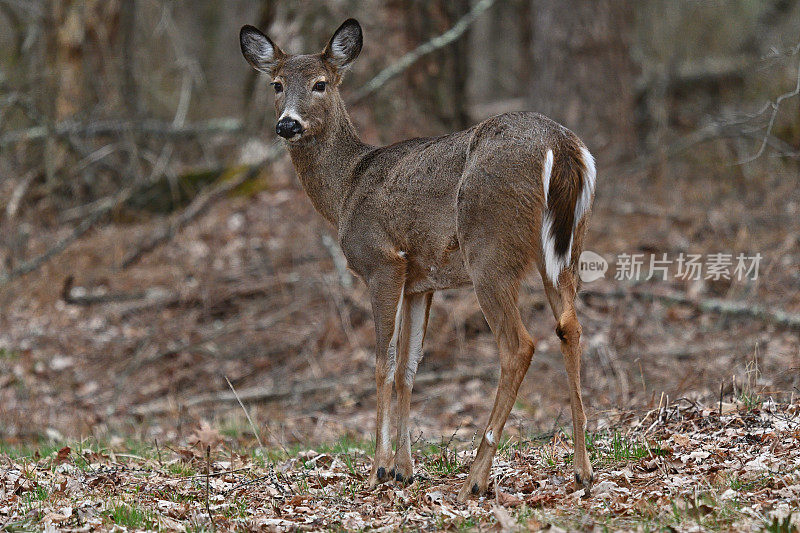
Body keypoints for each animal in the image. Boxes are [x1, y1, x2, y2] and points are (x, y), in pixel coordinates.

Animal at [241, 16, 596, 498]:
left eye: (320, 84)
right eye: (276, 84)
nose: (287, 125)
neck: (346, 189)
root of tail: (560, 146)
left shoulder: (383, 262)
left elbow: (382, 364)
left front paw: (377, 469)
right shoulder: (420, 281)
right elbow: (408, 369)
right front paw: (404, 470)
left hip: (489, 247)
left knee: (518, 344)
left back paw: (475, 480)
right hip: (564, 249)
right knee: (569, 327)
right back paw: (583, 470)